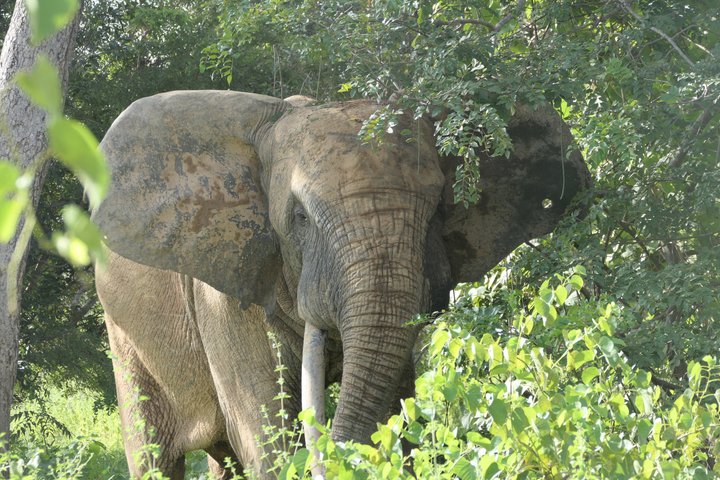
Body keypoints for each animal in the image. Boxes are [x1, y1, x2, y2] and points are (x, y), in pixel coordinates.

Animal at [92, 90, 590, 479]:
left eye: (436, 212)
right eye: (299, 217)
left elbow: (392, 407)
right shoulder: (224, 292)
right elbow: (267, 434)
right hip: (123, 333)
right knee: (154, 453)